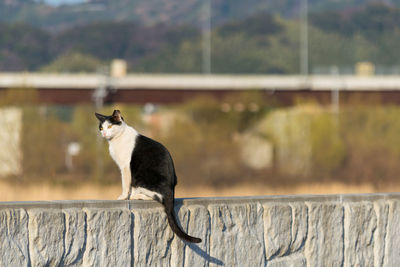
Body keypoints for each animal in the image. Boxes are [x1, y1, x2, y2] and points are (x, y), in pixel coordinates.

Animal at [95, 110, 202, 244]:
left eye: (110, 126)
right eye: (101, 127)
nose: (104, 133)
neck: (117, 139)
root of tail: (171, 190)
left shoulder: (125, 166)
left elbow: (125, 184)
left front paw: (123, 197)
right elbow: (130, 186)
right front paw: (128, 196)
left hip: (143, 178)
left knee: (155, 196)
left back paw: (136, 196)